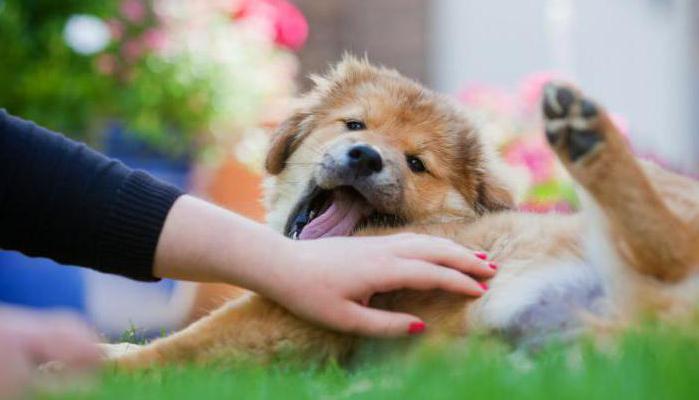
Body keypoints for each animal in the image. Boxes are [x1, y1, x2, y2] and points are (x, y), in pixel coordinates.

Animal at [110, 57, 699, 368]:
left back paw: (586, 134)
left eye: (417, 163)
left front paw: (102, 367)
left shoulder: (296, 311)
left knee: (671, 241)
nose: (365, 157)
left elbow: (179, 345)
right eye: (355, 125)